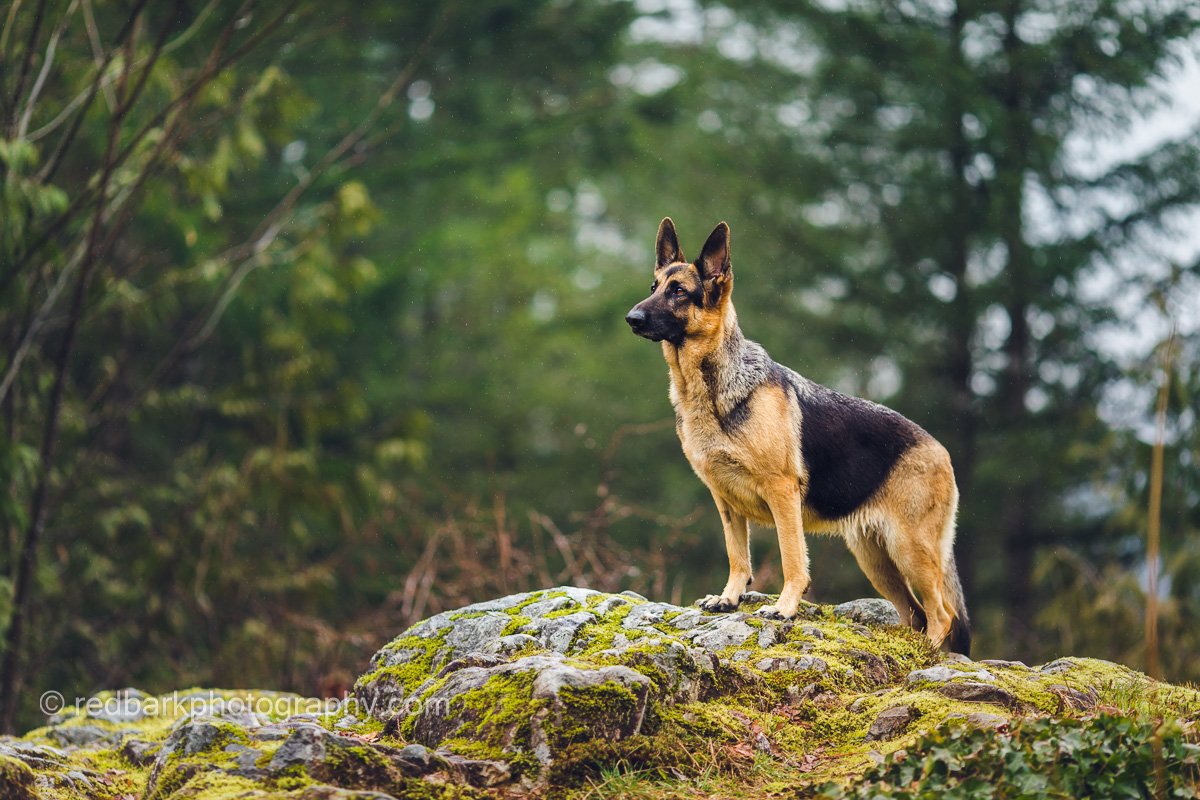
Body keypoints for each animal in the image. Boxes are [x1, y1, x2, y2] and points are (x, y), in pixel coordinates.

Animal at [624, 215, 969, 652]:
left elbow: (792, 557)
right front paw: (729, 598)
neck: (712, 387)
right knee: (916, 614)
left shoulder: (781, 493)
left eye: (679, 292)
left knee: (942, 614)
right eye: (653, 287)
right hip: (877, 561)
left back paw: (928, 653)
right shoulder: (725, 501)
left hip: (910, 550)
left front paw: (785, 607)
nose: (631, 318)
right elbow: (738, 556)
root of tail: (940, 448)